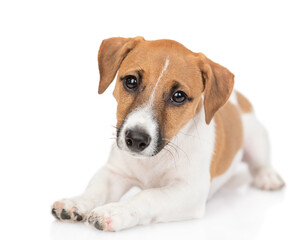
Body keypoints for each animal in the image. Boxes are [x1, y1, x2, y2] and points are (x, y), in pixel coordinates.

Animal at [51, 36, 286, 232]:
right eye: (131, 81)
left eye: (179, 96)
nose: (136, 140)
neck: (155, 159)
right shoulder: (114, 172)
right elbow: (96, 188)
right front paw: (76, 202)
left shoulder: (189, 191)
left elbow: (148, 196)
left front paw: (115, 211)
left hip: (256, 138)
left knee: (261, 162)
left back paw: (267, 177)